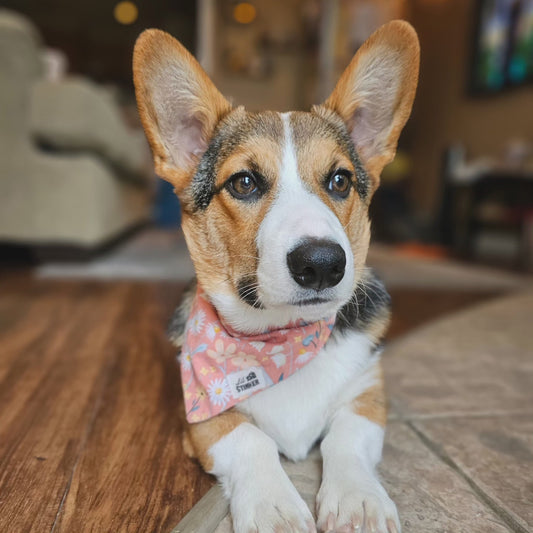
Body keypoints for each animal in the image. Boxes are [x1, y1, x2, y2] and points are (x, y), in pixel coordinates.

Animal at [133, 20, 420, 532]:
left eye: (340, 181)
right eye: (244, 182)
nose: (322, 263)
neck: (282, 338)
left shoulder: (368, 395)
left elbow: (345, 435)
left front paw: (359, 500)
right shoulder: (201, 417)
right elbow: (252, 440)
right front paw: (274, 507)